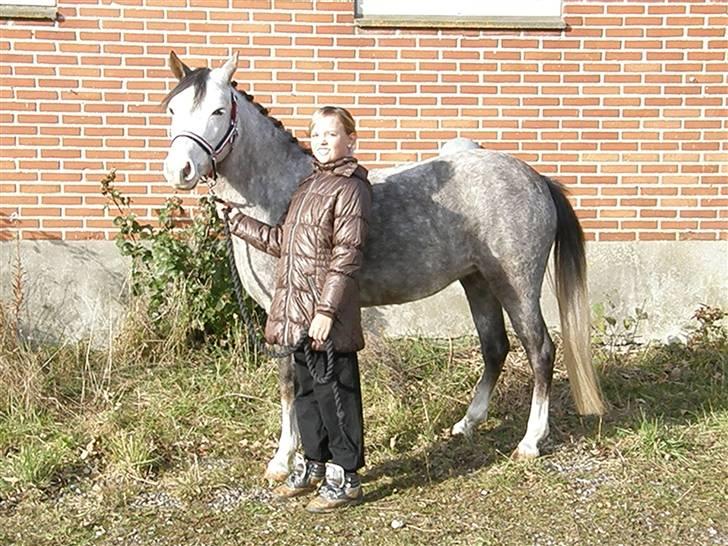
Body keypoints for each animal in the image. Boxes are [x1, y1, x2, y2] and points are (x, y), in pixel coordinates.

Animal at [161, 52, 604, 481]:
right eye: (172, 109)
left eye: (219, 110)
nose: (179, 170)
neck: (285, 197)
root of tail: (536, 178)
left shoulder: (285, 315)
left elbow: (289, 383)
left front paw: (283, 460)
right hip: (476, 280)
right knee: (495, 347)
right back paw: (468, 423)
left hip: (516, 284)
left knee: (540, 350)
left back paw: (530, 441)